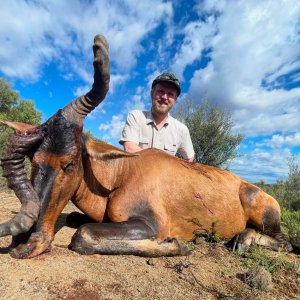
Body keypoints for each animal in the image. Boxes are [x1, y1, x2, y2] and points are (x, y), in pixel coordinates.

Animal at [0, 34, 290, 258]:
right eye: (34, 160)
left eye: (69, 162)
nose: (23, 245)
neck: (122, 172)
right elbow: (76, 221)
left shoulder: (150, 223)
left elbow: (84, 235)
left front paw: (178, 244)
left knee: (284, 242)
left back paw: (243, 240)